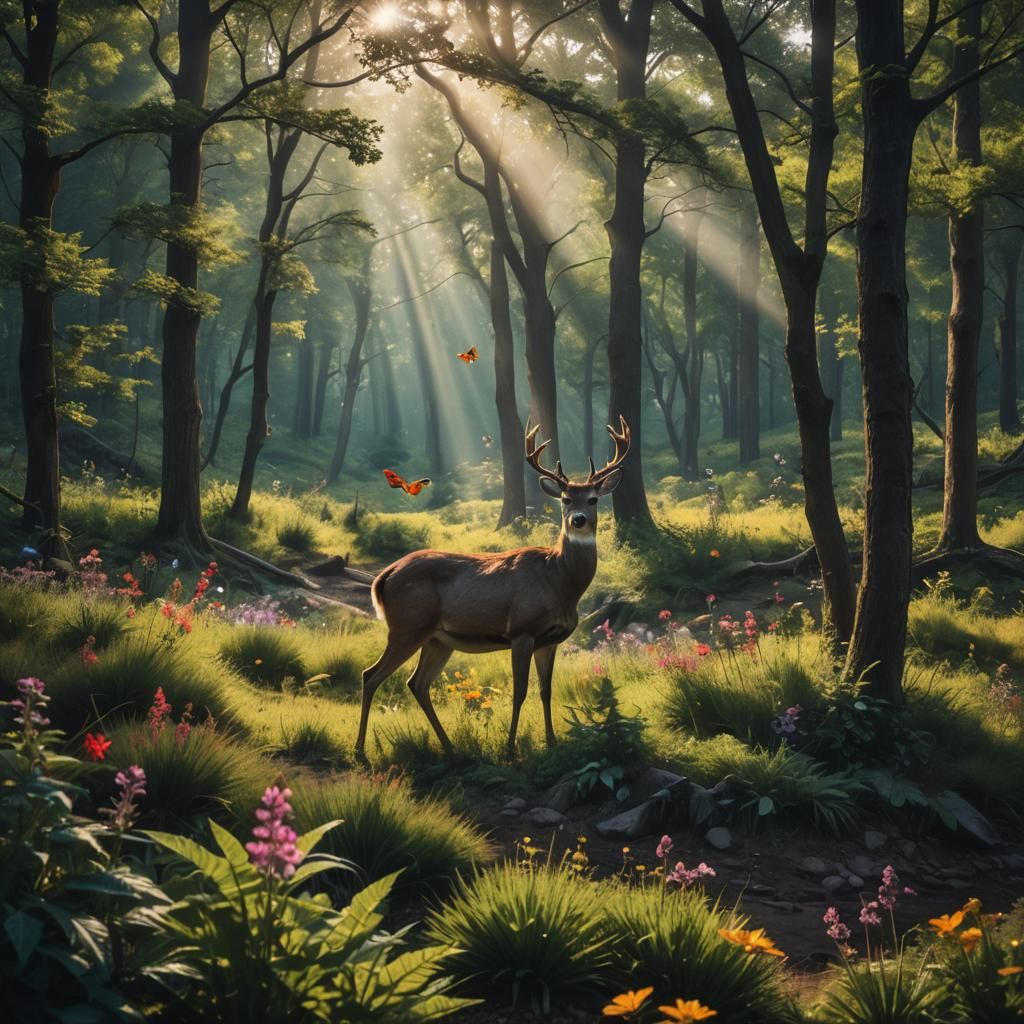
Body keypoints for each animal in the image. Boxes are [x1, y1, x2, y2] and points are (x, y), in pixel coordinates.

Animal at [355, 417, 631, 761]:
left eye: (593, 499)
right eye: (565, 499)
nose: (578, 519)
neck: (559, 581)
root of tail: (383, 577)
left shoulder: (550, 640)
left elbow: (546, 690)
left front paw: (552, 742)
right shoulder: (522, 630)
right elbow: (520, 691)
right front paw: (510, 749)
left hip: (437, 638)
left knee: (417, 683)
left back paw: (451, 748)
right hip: (408, 625)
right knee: (371, 675)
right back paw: (360, 750)